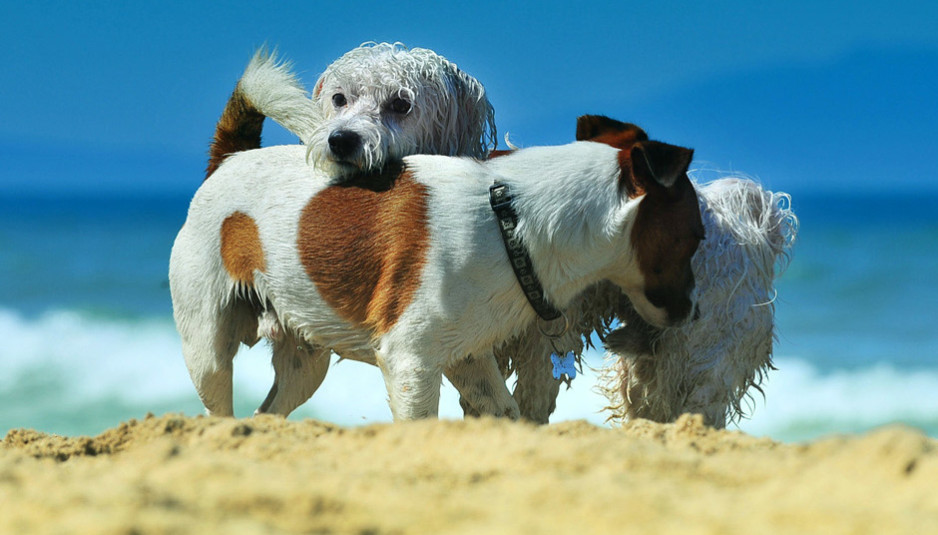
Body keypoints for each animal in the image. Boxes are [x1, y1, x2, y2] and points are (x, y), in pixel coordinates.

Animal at [168, 119, 700, 420]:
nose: (692, 314)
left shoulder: (468, 356)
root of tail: (228, 159)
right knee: (218, 406)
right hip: (207, 347)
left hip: (305, 361)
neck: (511, 218)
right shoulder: (411, 363)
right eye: (695, 239)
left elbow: (503, 411)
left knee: (264, 416)